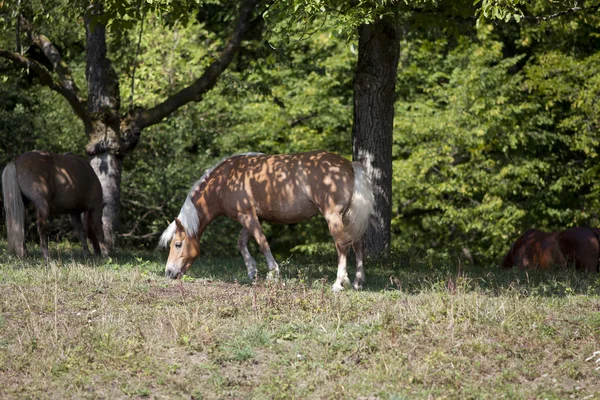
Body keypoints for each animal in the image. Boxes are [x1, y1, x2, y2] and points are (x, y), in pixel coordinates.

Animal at [159, 150, 376, 290]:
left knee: (342, 246)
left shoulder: (247, 215)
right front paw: (252, 272)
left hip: (333, 216)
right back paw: (357, 282)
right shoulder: (253, 217)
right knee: (358, 244)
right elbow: (241, 243)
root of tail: (349, 165)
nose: (168, 273)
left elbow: (262, 243)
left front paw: (273, 273)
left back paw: (339, 283)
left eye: (178, 244)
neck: (226, 180)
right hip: (348, 217)